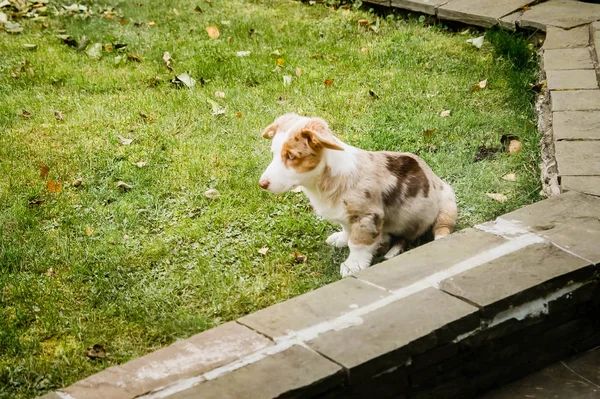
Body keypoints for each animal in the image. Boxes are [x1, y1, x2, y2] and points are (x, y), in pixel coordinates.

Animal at [255, 113, 458, 278]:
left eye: (291, 156)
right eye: (274, 153)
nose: (262, 184)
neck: (323, 180)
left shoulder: (366, 216)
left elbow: (357, 243)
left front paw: (352, 266)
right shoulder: (346, 214)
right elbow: (347, 230)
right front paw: (340, 239)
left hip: (447, 203)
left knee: (438, 229)